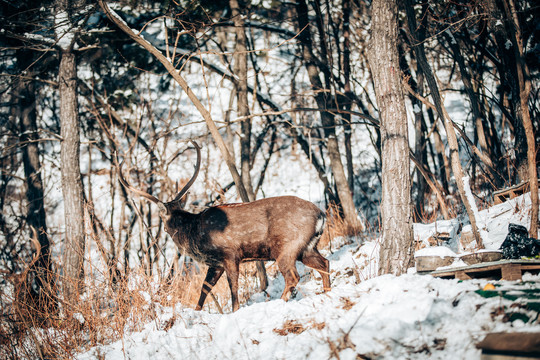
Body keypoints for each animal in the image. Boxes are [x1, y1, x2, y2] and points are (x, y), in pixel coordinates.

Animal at [116, 141, 332, 312]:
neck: (194, 233)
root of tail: (321, 214)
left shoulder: (230, 254)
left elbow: (233, 289)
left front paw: (234, 311)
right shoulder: (215, 263)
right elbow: (205, 288)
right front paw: (197, 312)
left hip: (286, 247)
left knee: (293, 276)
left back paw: (280, 301)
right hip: (307, 248)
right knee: (325, 263)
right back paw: (327, 293)